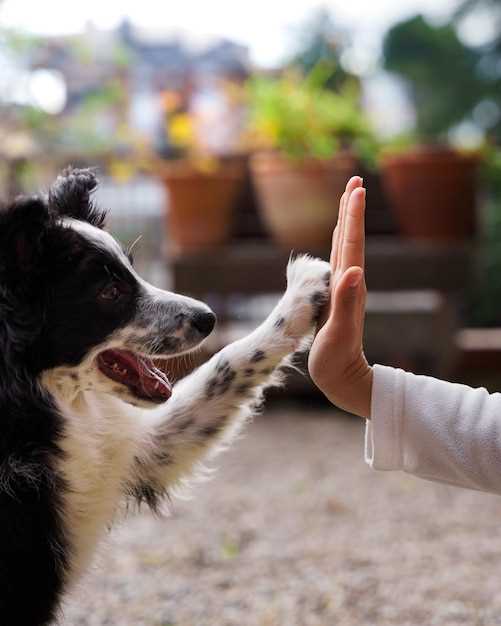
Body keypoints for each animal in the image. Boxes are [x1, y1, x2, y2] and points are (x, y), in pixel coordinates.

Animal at [0, 167, 330, 624]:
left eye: (132, 270)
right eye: (110, 292)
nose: (208, 318)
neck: (30, 397)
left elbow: (225, 364)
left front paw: (306, 290)